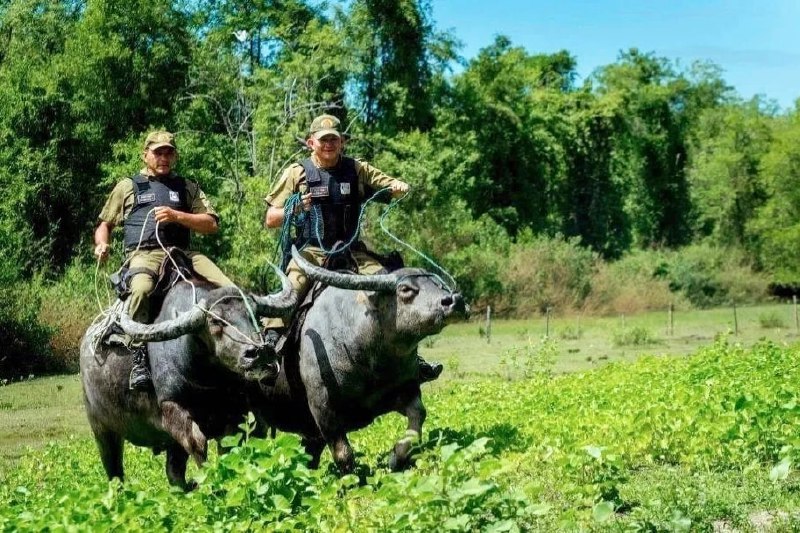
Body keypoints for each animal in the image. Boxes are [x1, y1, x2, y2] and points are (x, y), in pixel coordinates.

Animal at [79, 268, 294, 488]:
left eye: (255, 316)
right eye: (215, 321)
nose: (260, 352)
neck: (209, 384)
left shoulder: (238, 414)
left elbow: (229, 447)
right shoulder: (171, 407)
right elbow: (197, 442)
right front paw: (208, 479)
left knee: (173, 472)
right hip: (102, 429)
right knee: (114, 471)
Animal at [250, 244, 468, 470]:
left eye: (438, 285)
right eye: (406, 289)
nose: (455, 301)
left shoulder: (406, 390)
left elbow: (418, 417)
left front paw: (395, 458)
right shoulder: (323, 409)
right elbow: (344, 455)